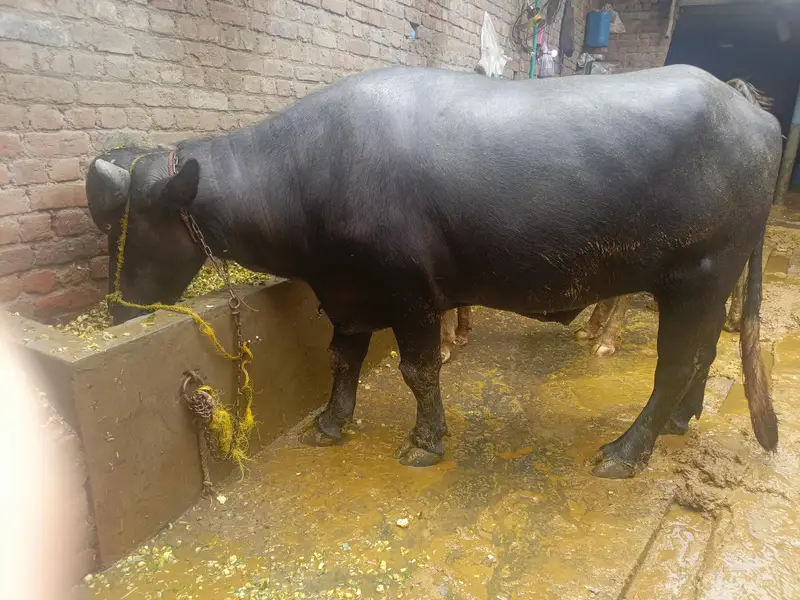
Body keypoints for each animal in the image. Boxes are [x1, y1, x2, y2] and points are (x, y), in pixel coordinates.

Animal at [85, 65, 780, 479]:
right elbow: (342, 360)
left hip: (696, 278)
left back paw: (625, 452)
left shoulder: (409, 293)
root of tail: (751, 111)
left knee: (675, 364)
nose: (118, 311)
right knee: (703, 355)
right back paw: (684, 419)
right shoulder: (347, 293)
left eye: (129, 226)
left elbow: (419, 370)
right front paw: (330, 424)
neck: (307, 174)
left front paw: (425, 442)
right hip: (708, 286)